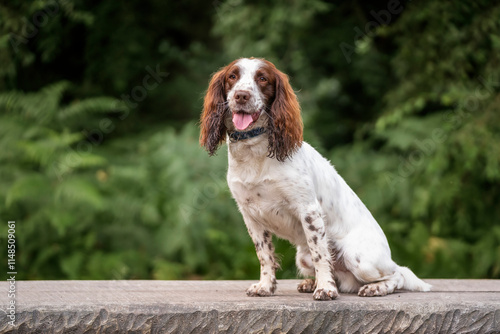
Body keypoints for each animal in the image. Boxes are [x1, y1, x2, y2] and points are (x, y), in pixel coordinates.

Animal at [199, 57, 430, 300]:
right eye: (232, 76)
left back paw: (373, 288)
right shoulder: (250, 215)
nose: (241, 95)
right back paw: (312, 283)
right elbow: (264, 254)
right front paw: (265, 286)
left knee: (398, 275)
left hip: (360, 259)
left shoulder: (308, 210)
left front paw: (326, 289)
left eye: (262, 78)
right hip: (302, 257)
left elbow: (320, 254)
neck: (255, 152)